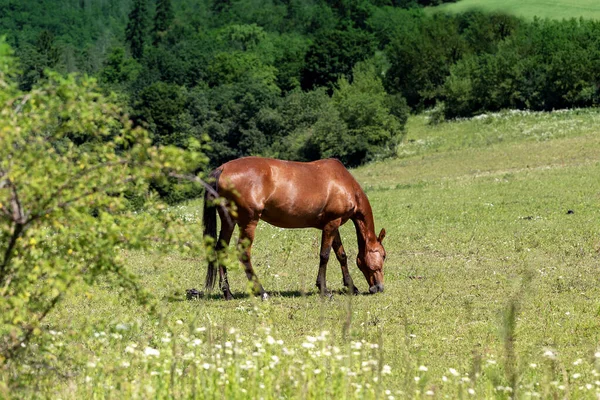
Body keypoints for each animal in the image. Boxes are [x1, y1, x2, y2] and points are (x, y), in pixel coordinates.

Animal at [204, 157, 386, 300]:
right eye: (384, 255)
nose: (379, 287)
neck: (343, 181)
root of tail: (223, 169)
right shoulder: (331, 224)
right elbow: (325, 255)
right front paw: (324, 289)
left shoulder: (333, 224)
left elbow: (341, 255)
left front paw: (351, 287)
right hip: (248, 222)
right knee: (244, 254)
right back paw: (262, 292)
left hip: (229, 221)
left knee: (221, 249)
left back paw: (227, 293)